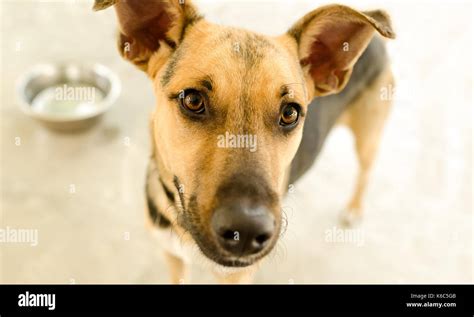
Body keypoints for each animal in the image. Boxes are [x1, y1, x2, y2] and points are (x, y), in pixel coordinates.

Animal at [93, 0, 396, 282]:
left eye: (290, 113)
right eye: (192, 100)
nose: (247, 232)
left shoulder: (237, 276)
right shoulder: (172, 256)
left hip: (368, 138)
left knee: (365, 172)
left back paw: (354, 209)